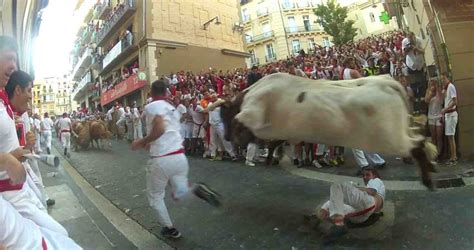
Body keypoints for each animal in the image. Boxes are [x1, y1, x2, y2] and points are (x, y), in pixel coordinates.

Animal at [222, 72, 436, 189]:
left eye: (223, 115)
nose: (226, 137)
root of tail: (387, 83)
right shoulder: (281, 132)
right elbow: (274, 144)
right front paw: (270, 158)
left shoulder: (254, 112)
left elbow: (243, 122)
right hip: (400, 130)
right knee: (421, 139)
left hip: (390, 138)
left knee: (416, 146)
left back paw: (428, 180)